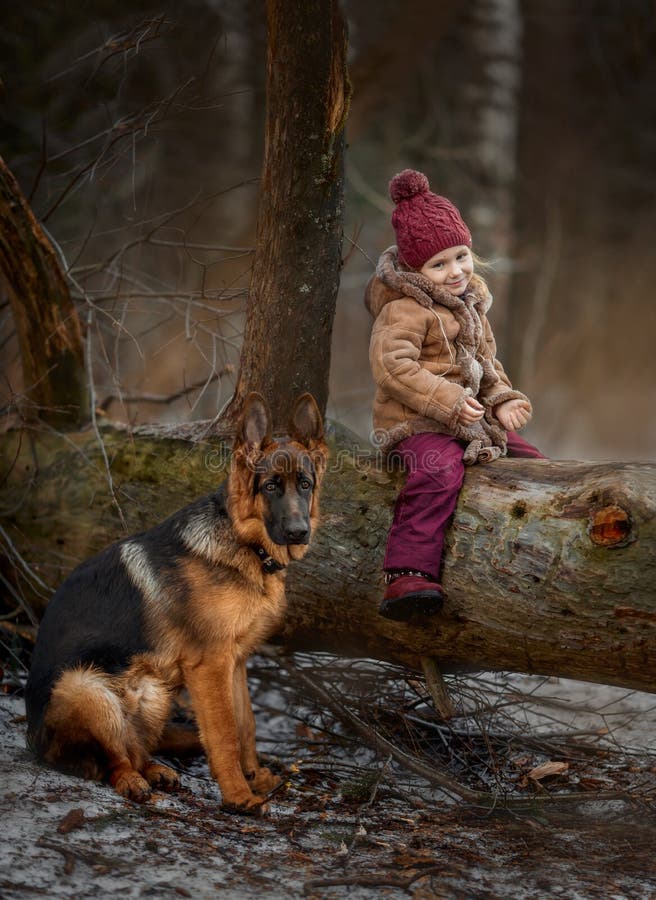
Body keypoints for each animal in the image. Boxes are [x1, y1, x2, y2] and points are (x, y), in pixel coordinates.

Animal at [25, 394, 328, 816]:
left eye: (305, 484)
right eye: (270, 486)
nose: (300, 532)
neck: (242, 543)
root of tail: (31, 740)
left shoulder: (235, 661)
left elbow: (246, 725)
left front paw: (254, 777)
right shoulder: (210, 666)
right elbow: (224, 733)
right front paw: (238, 796)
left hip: (154, 691)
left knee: (134, 750)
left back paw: (154, 770)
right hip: (87, 689)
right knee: (110, 761)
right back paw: (133, 781)